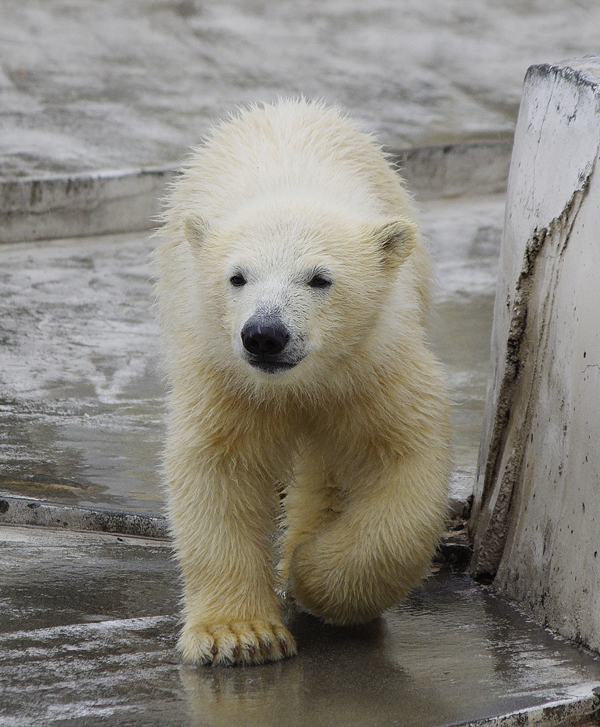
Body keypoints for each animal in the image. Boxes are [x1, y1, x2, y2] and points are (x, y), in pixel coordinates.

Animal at [155, 99, 450, 668]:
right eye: (237, 276)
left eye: (319, 278)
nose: (264, 335)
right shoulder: (224, 375)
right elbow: (219, 470)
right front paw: (240, 636)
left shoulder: (371, 364)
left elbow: (402, 462)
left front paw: (311, 576)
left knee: (327, 470)